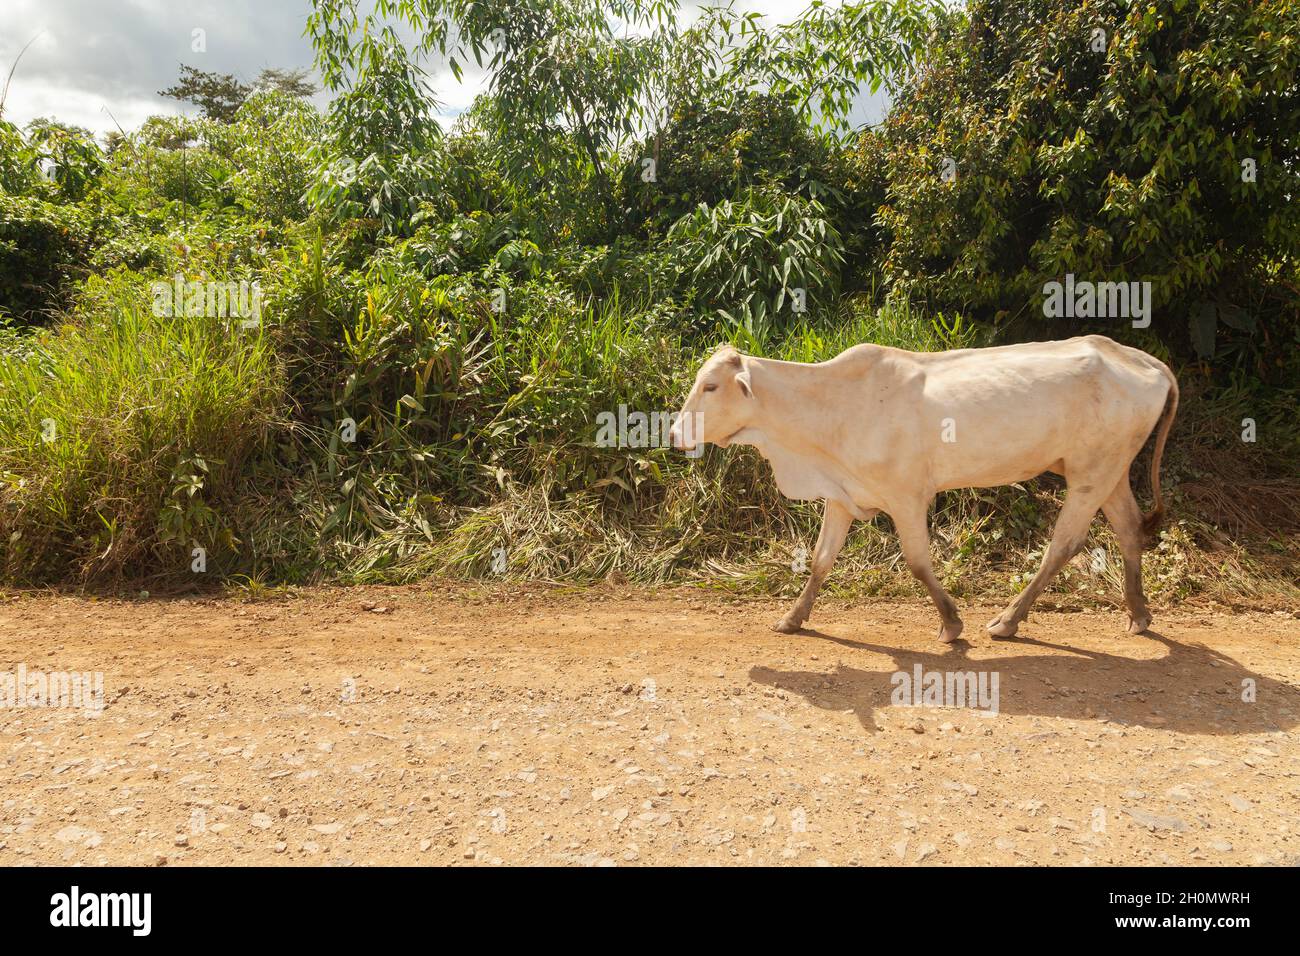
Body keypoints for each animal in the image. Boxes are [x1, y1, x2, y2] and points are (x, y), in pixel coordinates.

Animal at [670, 335, 1180, 642]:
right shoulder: (842, 494)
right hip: (1109, 472)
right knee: (1129, 528)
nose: (674, 434)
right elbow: (820, 562)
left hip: (1091, 474)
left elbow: (917, 561)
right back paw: (1138, 613)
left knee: (1064, 544)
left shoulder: (907, 497)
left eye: (711, 386)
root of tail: (1142, 359)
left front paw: (952, 623)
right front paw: (792, 618)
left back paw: (1008, 620)